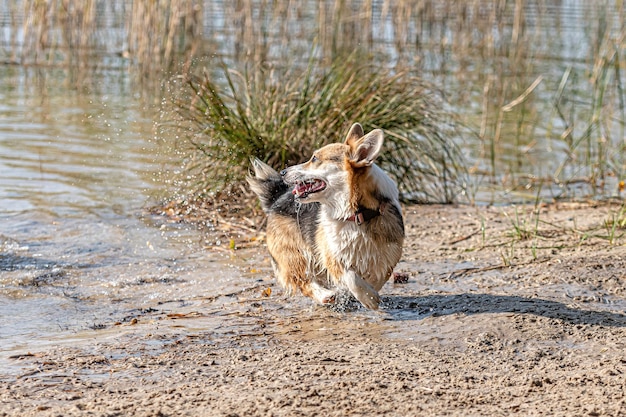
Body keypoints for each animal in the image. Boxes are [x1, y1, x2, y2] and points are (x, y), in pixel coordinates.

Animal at [246, 122, 402, 308]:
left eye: (314, 158)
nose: (283, 172)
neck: (355, 214)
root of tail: (277, 197)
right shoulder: (332, 257)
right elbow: (351, 278)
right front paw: (369, 299)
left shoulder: (387, 258)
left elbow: (375, 279)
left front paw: (369, 294)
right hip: (294, 254)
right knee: (303, 281)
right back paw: (325, 295)